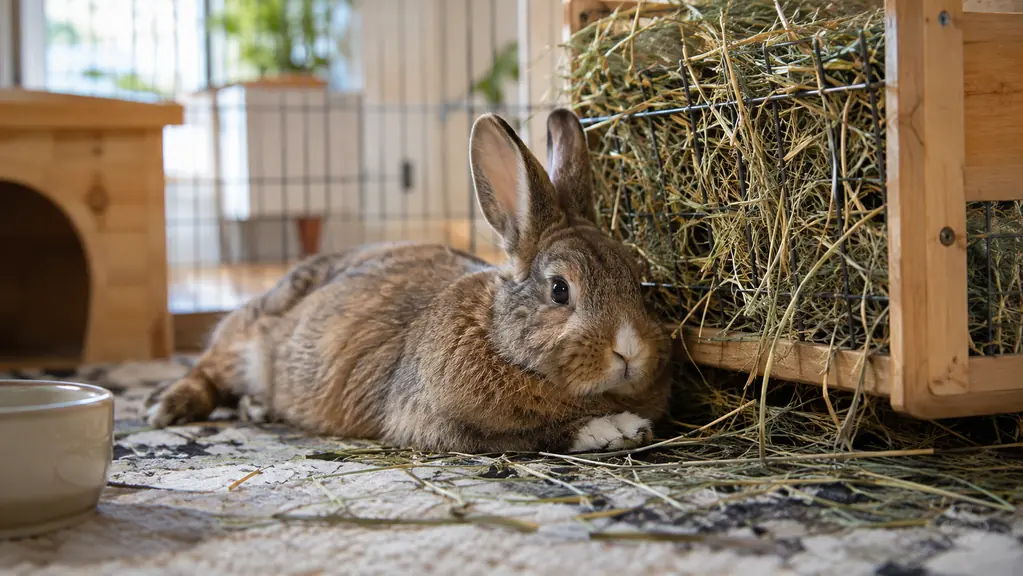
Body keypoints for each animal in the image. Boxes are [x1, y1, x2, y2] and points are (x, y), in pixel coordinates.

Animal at [144, 108, 672, 453]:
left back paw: (257, 407)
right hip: (246, 342)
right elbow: (535, 435)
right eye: (560, 290)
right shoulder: (437, 423)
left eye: (636, 280)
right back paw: (165, 407)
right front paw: (616, 428)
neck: (497, 337)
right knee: (208, 369)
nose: (629, 350)